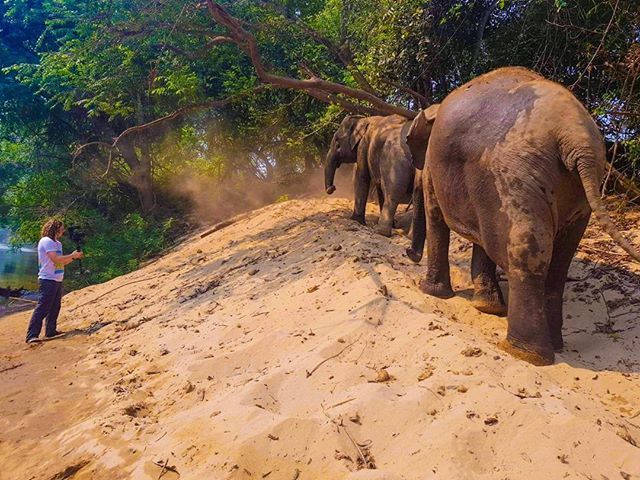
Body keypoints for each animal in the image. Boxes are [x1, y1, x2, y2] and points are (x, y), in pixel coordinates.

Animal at [405, 67, 640, 366]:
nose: (408, 254)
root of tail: (576, 138)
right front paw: (488, 307)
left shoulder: (436, 170)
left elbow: (437, 217)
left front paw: (430, 291)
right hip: (574, 190)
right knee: (558, 261)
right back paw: (553, 345)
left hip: (515, 178)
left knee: (527, 255)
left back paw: (523, 352)